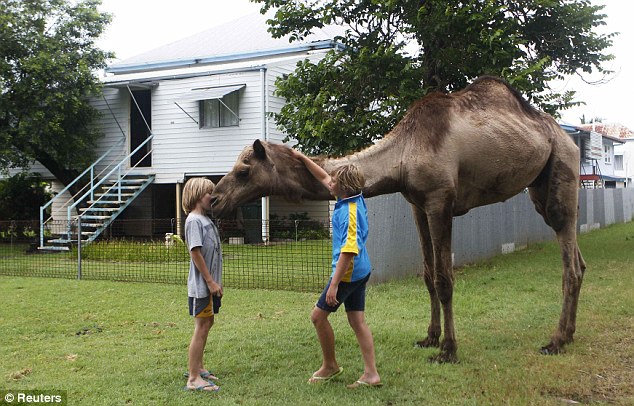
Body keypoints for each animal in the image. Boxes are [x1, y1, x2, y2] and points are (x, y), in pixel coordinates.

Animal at [211, 76, 584, 362]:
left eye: (243, 171)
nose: (214, 199)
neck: (404, 153)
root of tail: (568, 137)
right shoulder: (417, 204)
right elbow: (428, 276)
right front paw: (430, 337)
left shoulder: (439, 200)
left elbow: (445, 279)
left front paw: (448, 350)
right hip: (540, 185)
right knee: (576, 258)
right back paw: (569, 335)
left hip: (561, 167)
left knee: (569, 260)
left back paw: (555, 341)